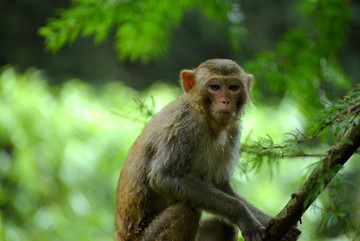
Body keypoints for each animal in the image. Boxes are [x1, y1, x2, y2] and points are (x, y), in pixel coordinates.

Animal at [115, 58, 300, 241]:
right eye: (215, 87)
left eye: (233, 87)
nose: (225, 101)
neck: (204, 113)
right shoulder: (185, 124)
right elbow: (164, 178)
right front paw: (243, 215)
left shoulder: (233, 130)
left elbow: (219, 184)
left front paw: (271, 222)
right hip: (149, 237)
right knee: (187, 208)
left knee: (224, 226)